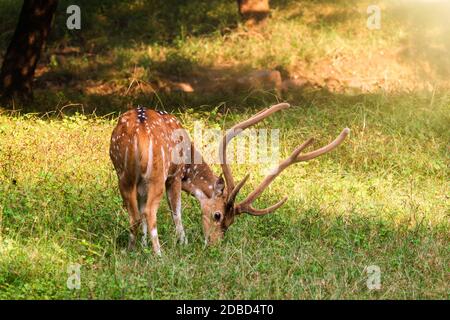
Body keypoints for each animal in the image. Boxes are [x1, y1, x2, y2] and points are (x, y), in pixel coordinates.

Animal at [109, 102, 348, 255]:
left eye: (231, 222)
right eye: (218, 215)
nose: (213, 246)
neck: (189, 164)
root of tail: (139, 133)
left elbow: (142, 211)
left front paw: (143, 245)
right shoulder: (175, 175)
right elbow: (176, 212)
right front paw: (182, 243)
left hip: (123, 173)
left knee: (135, 212)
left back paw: (131, 249)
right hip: (158, 174)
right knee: (150, 211)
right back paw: (159, 255)